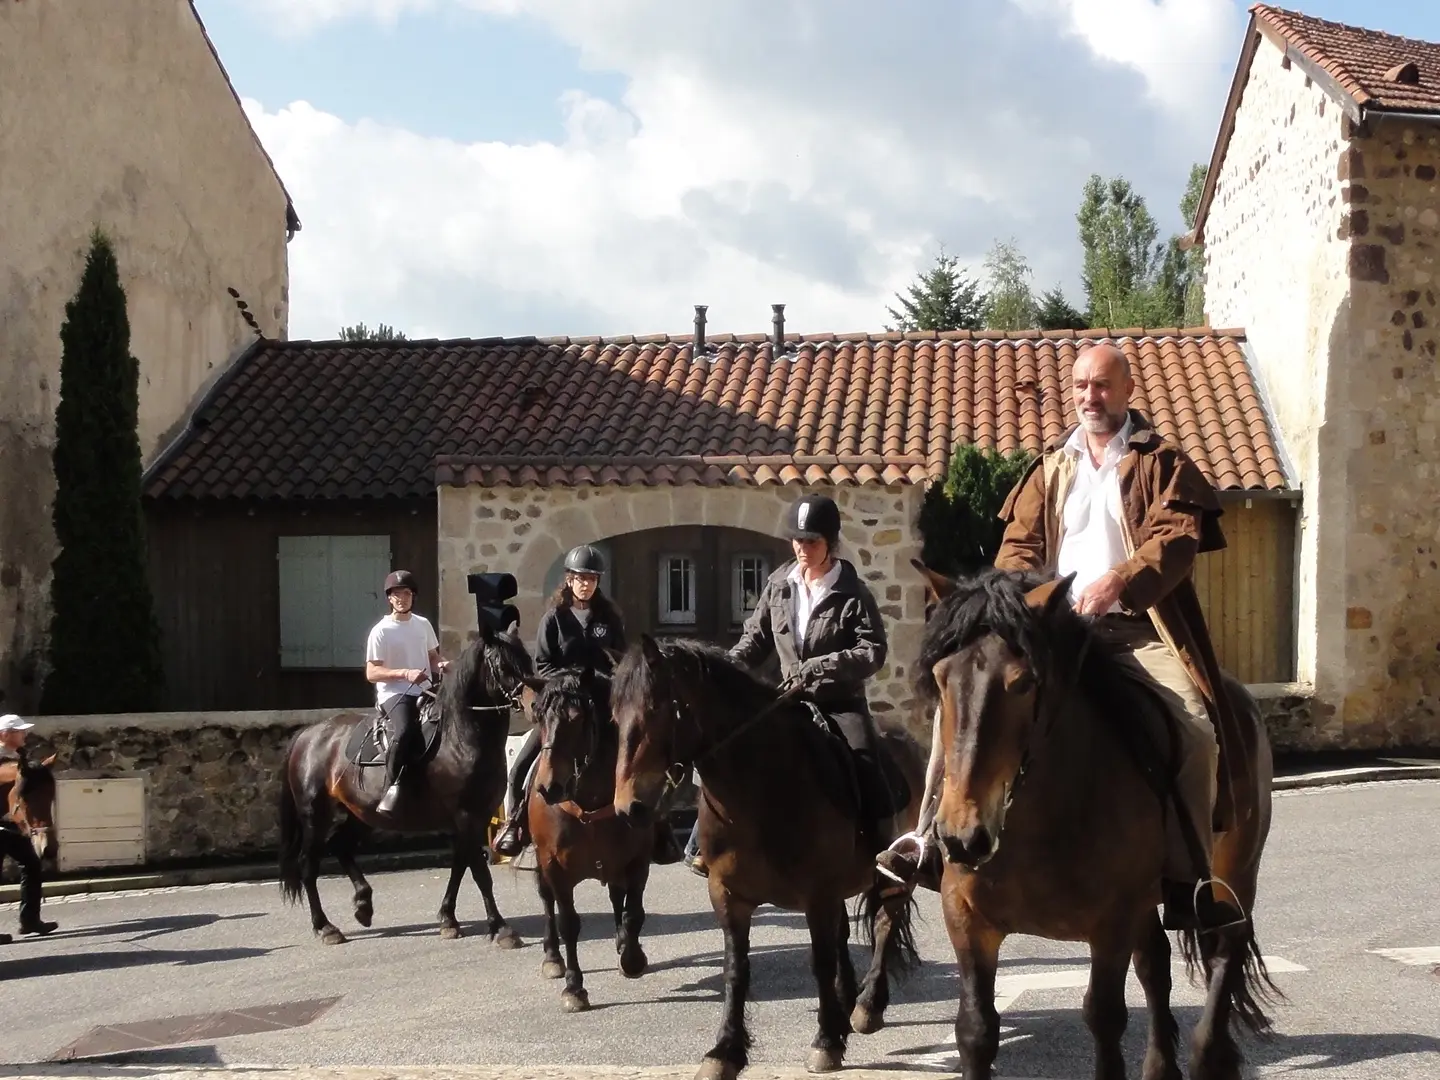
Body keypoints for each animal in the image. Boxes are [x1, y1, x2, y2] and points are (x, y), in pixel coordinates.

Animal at [276, 622, 535, 950]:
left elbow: (460, 866)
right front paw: (501, 928)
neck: (461, 737)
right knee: (309, 866)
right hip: (314, 816)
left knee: (341, 847)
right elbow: (479, 872)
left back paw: (363, 905)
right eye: (502, 665)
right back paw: (325, 927)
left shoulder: (472, 817)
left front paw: (448, 919)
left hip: (361, 813)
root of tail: (308, 735)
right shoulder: (465, 816)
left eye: (527, 659)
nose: (534, 702)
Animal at [529, 668, 659, 1013]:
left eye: (576, 718)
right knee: (546, 901)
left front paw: (632, 957)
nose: (547, 787)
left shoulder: (637, 859)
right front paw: (574, 987)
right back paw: (552, 957)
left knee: (617, 897)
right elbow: (568, 923)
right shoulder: (554, 867)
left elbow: (632, 911)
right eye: (539, 717)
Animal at [610, 633, 927, 1080]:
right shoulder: (728, 895)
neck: (762, 789)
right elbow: (736, 970)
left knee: (884, 924)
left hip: (894, 875)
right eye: (614, 716)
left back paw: (866, 1006)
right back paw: (847, 1002)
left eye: (656, 709)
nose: (629, 808)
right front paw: (724, 1051)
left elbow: (820, 962)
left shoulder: (816, 894)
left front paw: (826, 1042)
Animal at [915, 567, 1278, 1080]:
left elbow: (1104, 1018)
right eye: (941, 678)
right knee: (1155, 964)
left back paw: (1208, 1055)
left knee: (1227, 944)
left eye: (1023, 683)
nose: (962, 837)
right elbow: (976, 1029)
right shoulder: (966, 919)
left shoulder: (1111, 924)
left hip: (1236, 870)